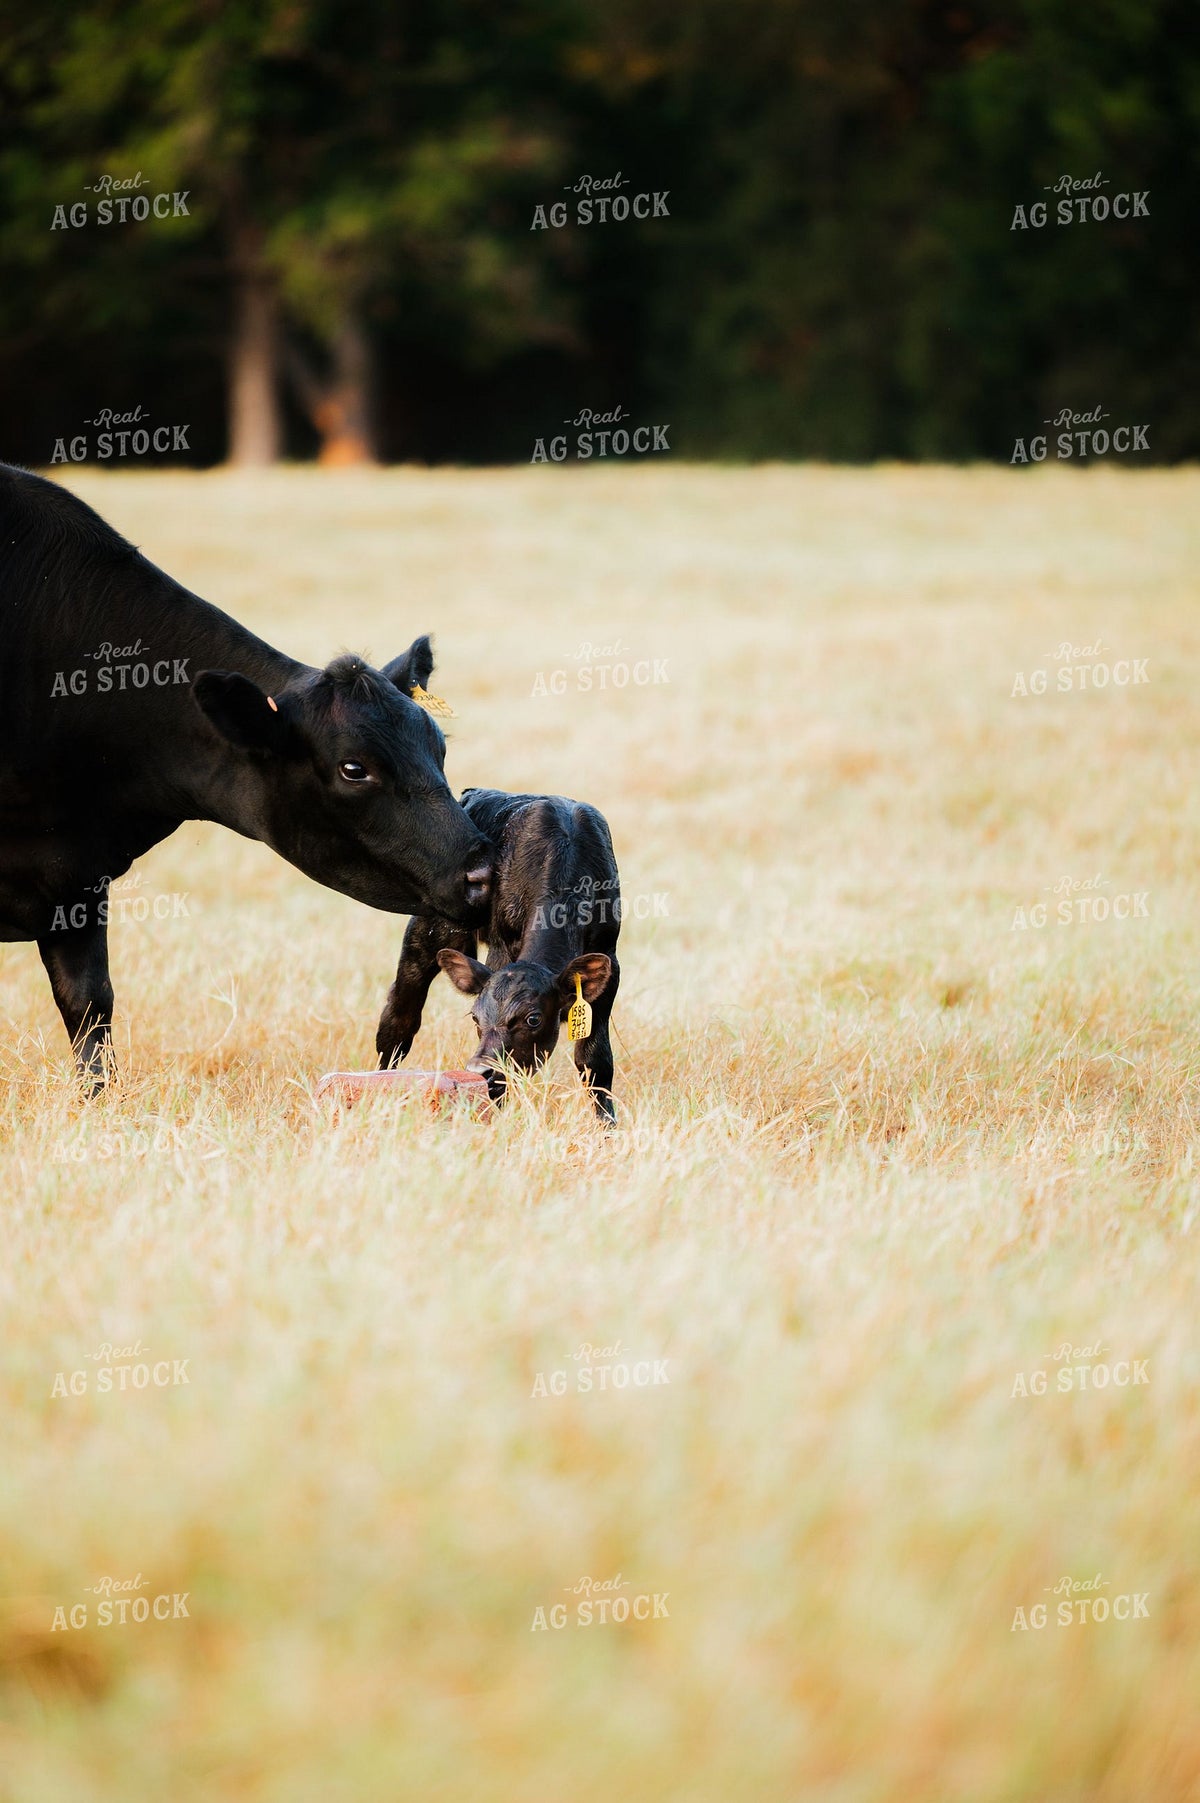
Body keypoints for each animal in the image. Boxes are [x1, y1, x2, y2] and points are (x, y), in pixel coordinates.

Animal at [376, 788, 620, 1119]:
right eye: (475, 1017)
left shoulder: (610, 960)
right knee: (400, 1017)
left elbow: (595, 1060)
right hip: (427, 935)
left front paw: (607, 1124)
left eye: (533, 1019)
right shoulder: (501, 947)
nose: (479, 1070)